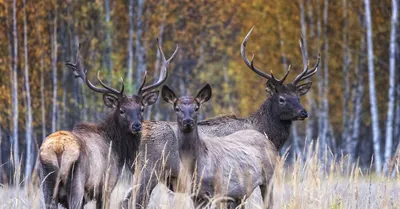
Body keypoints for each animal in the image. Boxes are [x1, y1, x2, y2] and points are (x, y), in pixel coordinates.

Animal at [38, 39, 179, 209]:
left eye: (142, 108)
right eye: (121, 110)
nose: (136, 126)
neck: (117, 147)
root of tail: (59, 148)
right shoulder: (106, 186)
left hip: (47, 186)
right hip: (76, 185)